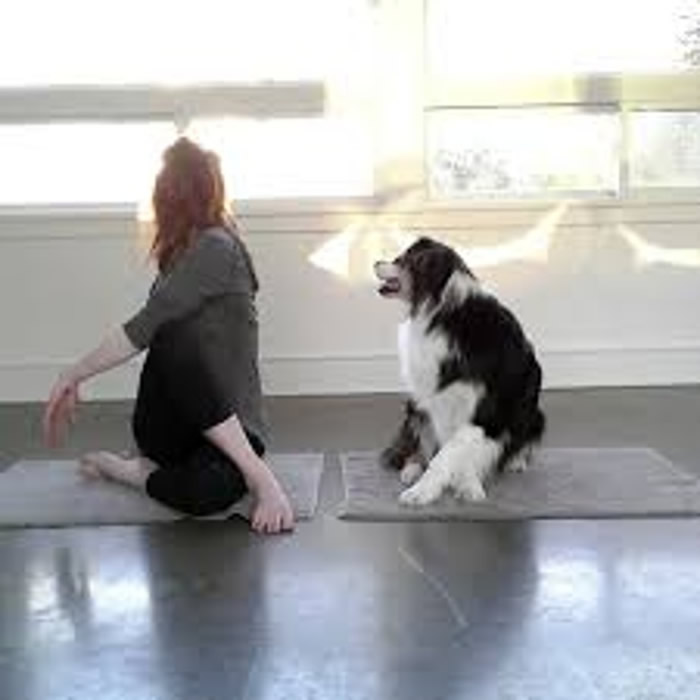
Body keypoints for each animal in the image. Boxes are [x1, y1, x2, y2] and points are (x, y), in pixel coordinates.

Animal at [374, 236, 545, 505]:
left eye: (402, 259)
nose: (375, 262)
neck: (444, 314)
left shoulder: (483, 409)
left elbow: (453, 450)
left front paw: (466, 486)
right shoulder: (436, 400)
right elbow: (444, 450)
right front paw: (426, 488)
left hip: (532, 411)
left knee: (521, 436)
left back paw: (516, 461)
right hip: (415, 404)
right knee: (414, 443)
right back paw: (411, 469)